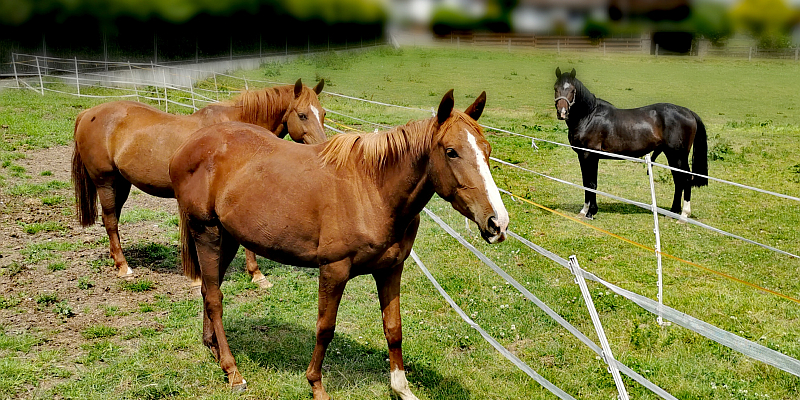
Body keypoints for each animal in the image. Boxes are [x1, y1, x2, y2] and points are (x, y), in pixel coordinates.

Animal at [72, 77, 326, 282]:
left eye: (323, 114)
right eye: (302, 115)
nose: (322, 149)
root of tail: (88, 113)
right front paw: (256, 274)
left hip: (121, 183)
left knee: (111, 219)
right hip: (105, 181)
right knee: (110, 220)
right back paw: (123, 267)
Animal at [171, 90, 510, 400]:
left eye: (488, 150)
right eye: (452, 152)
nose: (498, 223)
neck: (372, 190)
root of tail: (189, 146)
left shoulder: (391, 269)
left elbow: (394, 328)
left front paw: (401, 388)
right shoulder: (334, 271)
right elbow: (325, 328)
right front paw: (316, 385)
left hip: (227, 238)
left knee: (208, 291)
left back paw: (213, 349)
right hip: (207, 233)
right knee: (215, 298)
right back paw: (232, 371)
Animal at [552, 67, 708, 220]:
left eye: (573, 90)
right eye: (555, 88)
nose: (562, 112)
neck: (589, 117)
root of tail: (688, 112)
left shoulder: (589, 156)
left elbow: (591, 184)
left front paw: (591, 212)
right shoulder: (583, 156)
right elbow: (586, 183)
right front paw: (584, 211)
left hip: (678, 156)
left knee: (685, 179)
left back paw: (683, 214)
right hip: (672, 155)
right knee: (678, 180)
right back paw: (673, 211)